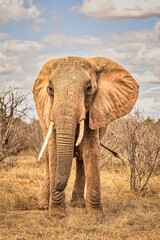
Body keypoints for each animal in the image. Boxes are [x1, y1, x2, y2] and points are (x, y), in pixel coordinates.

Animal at [32, 55, 139, 218]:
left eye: (89, 88)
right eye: (50, 88)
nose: (58, 186)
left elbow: (90, 151)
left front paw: (96, 217)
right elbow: (54, 152)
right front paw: (57, 215)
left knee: (81, 159)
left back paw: (77, 204)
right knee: (49, 158)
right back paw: (44, 206)